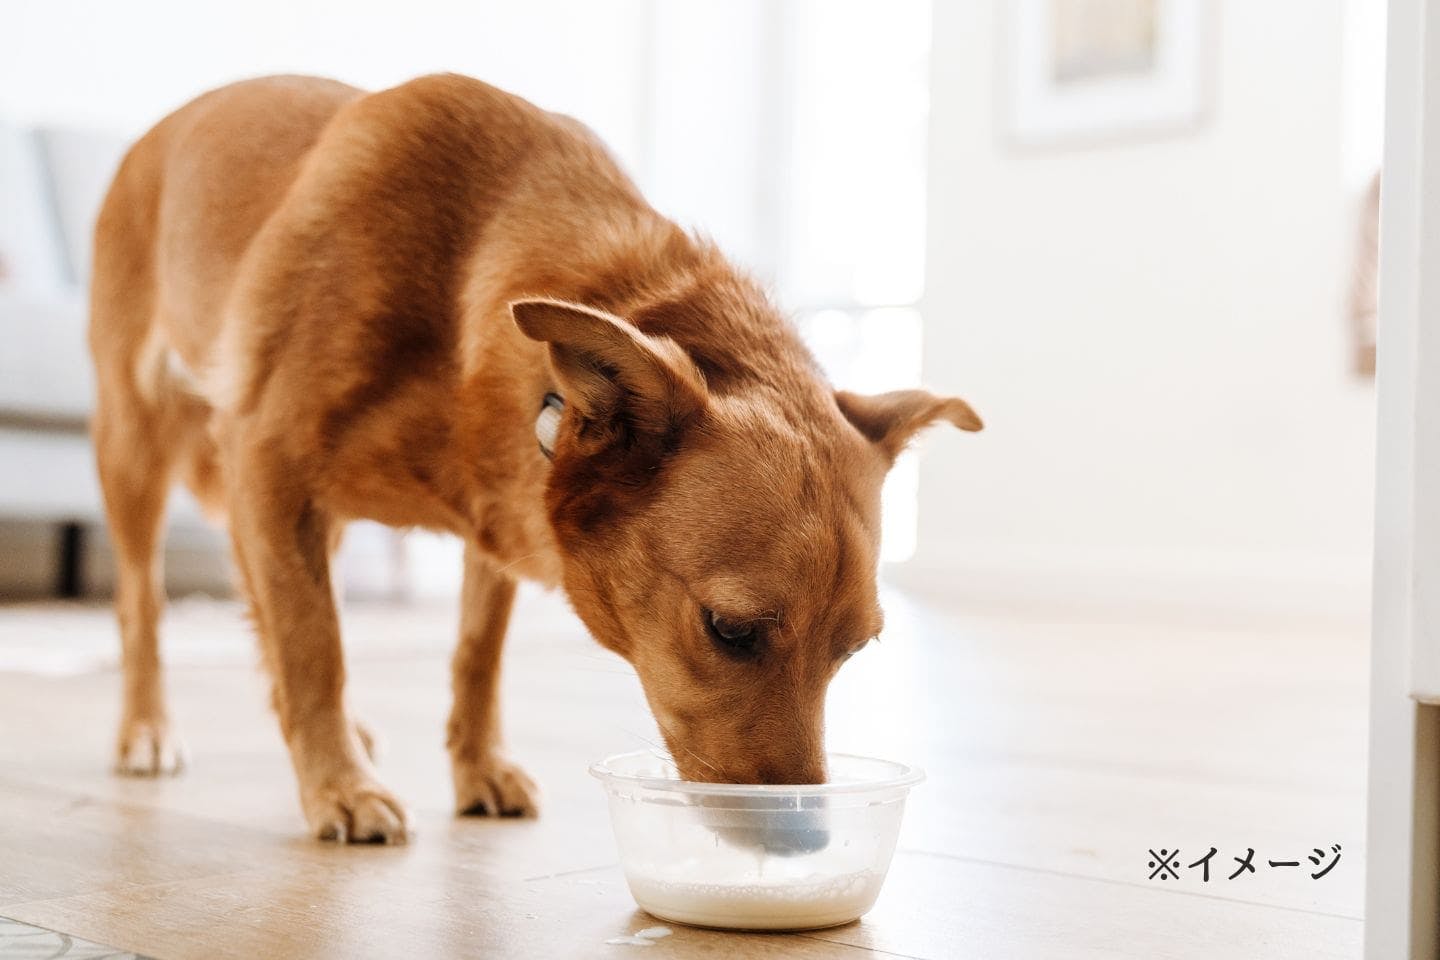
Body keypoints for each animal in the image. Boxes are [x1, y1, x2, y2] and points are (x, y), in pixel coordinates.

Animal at [87, 75, 979, 840]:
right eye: (730, 630)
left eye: (853, 651)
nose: (805, 840)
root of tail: (162, 128)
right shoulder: (271, 465)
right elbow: (317, 648)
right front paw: (340, 787)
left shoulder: (489, 522)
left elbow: (474, 657)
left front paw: (475, 767)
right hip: (137, 451)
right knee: (144, 606)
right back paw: (148, 729)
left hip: (306, 518)